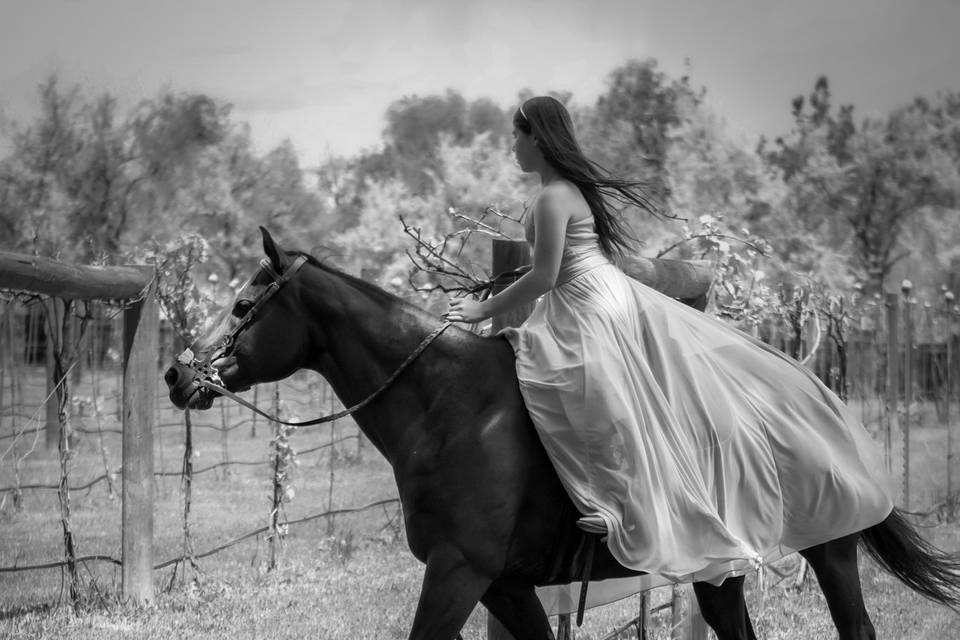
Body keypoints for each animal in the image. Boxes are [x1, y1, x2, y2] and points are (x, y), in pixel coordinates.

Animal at [167, 230, 960, 640]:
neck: (448, 406)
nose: (179, 374)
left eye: (241, 305)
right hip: (720, 572)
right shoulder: (503, 584)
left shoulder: (458, 571)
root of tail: (813, 387)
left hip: (831, 551)